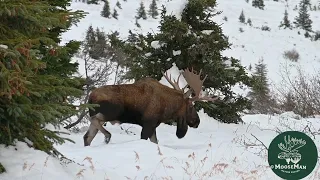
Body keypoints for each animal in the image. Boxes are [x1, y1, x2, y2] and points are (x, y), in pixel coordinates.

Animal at [82, 68, 219, 146]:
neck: (167, 108)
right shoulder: (148, 124)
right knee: (94, 120)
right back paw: (107, 136)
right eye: (191, 106)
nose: (197, 121)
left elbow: (155, 142)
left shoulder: (153, 126)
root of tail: (91, 97)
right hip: (112, 112)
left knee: (87, 137)